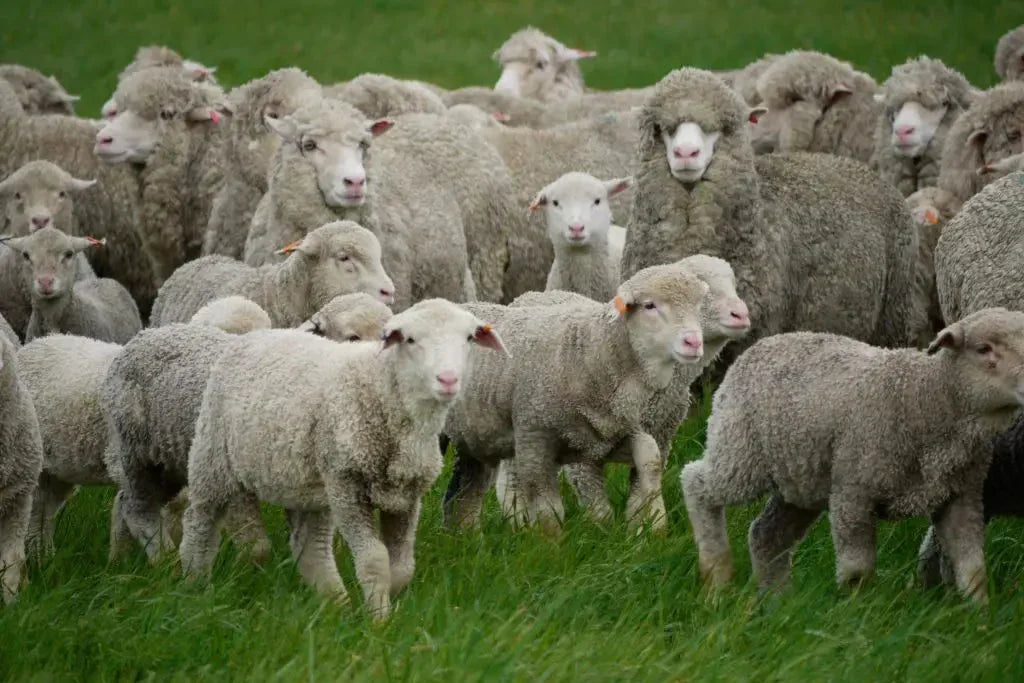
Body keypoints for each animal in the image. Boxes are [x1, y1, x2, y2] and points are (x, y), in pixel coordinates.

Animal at [104, 294, 392, 562]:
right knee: (139, 509)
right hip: (137, 452)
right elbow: (257, 547)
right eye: (353, 336)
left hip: (171, 460)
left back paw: (119, 558)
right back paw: (161, 558)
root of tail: (146, 334)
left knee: (124, 502)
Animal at [178, 299, 506, 618]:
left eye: (468, 338)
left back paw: (335, 605)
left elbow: (402, 567)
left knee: (310, 546)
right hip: (213, 457)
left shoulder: (406, 495)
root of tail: (256, 335)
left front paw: (390, 602)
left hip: (307, 484)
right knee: (199, 521)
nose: (448, 379)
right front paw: (379, 620)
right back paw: (194, 583)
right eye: (411, 340)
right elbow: (375, 559)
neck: (380, 388)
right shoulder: (348, 486)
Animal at [442, 262, 710, 532]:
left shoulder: (611, 432)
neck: (593, 351)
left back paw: (463, 533)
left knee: (466, 487)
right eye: (649, 305)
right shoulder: (534, 435)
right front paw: (549, 538)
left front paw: (655, 520)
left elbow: (650, 457)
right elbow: (547, 506)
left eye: (698, 307)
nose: (693, 342)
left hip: (473, 437)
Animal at [681, 307, 1024, 604]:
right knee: (696, 483)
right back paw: (716, 574)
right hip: (740, 451)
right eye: (984, 349)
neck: (925, 396)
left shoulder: (962, 498)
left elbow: (973, 569)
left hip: (802, 481)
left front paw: (979, 617)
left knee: (767, 535)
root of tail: (766, 343)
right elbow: (858, 570)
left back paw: (777, 603)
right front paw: (856, 613)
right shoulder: (854, 492)